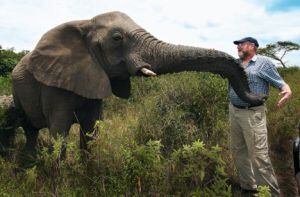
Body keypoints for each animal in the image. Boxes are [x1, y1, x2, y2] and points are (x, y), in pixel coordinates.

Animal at [2, 11, 264, 157]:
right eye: (117, 38)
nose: (261, 98)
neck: (84, 23)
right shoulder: (54, 86)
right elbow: (60, 135)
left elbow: (91, 133)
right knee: (30, 131)